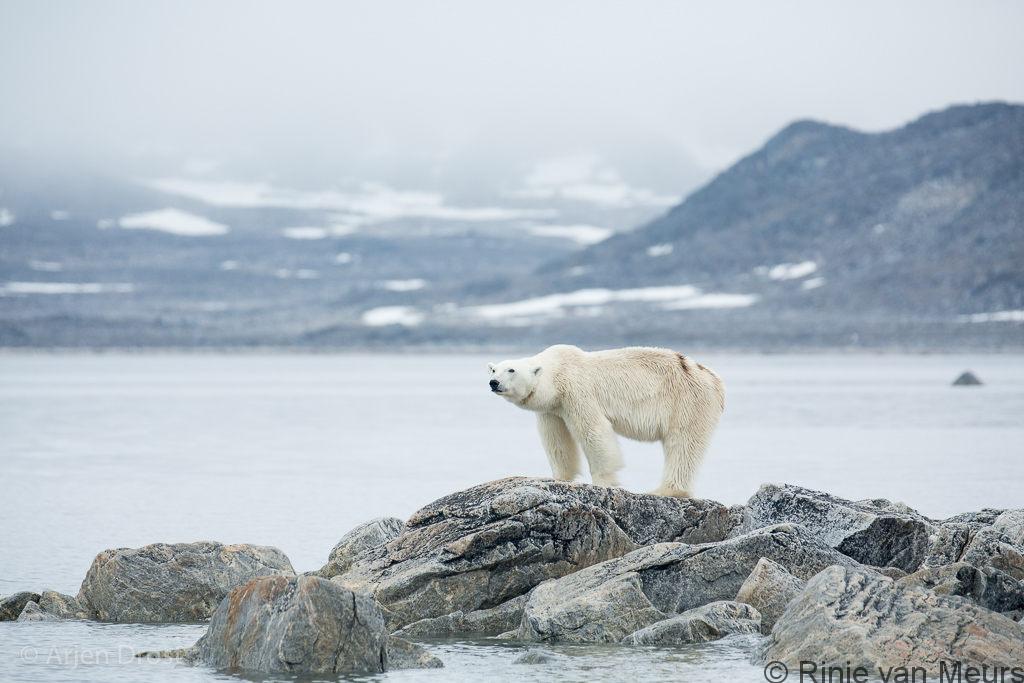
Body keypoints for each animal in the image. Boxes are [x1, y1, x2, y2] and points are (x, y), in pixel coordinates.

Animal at [485, 348, 720, 497]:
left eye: (511, 370)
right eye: (494, 369)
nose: (493, 382)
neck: (558, 373)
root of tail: (713, 378)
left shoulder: (577, 392)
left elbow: (593, 431)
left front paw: (603, 482)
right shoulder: (552, 409)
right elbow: (556, 440)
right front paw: (559, 477)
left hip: (687, 401)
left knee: (682, 443)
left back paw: (665, 490)